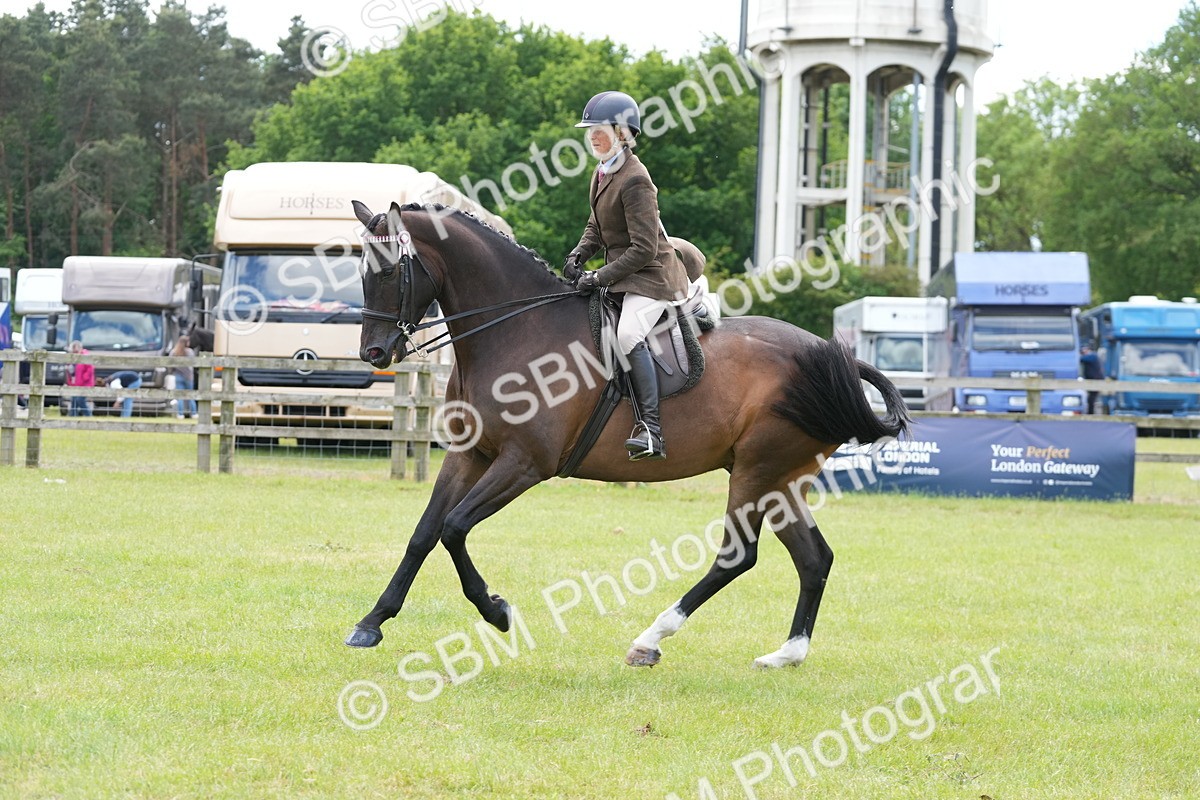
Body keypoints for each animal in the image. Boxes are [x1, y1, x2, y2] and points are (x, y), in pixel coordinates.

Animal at [346, 200, 910, 668]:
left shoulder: (523, 464)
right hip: (783, 480)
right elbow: (424, 534)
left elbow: (454, 527)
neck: (513, 330)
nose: (374, 353)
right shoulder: (469, 454)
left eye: (390, 271)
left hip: (758, 471)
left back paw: (650, 638)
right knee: (814, 559)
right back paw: (786, 654)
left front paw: (497, 611)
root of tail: (828, 356)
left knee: (737, 556)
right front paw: (372, 623)